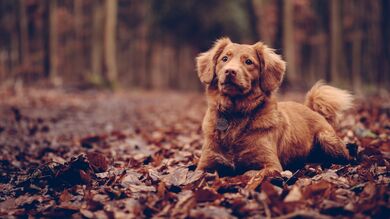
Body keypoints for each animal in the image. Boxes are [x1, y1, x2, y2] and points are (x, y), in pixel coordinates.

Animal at [195, 37, 354, 183]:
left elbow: (251, 174)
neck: (235, 113)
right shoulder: (205, 165)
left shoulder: (271, 165)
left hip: (326, 138)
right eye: (224, 59)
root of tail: (311, 109)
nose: (230, 71)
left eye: (248, 62)